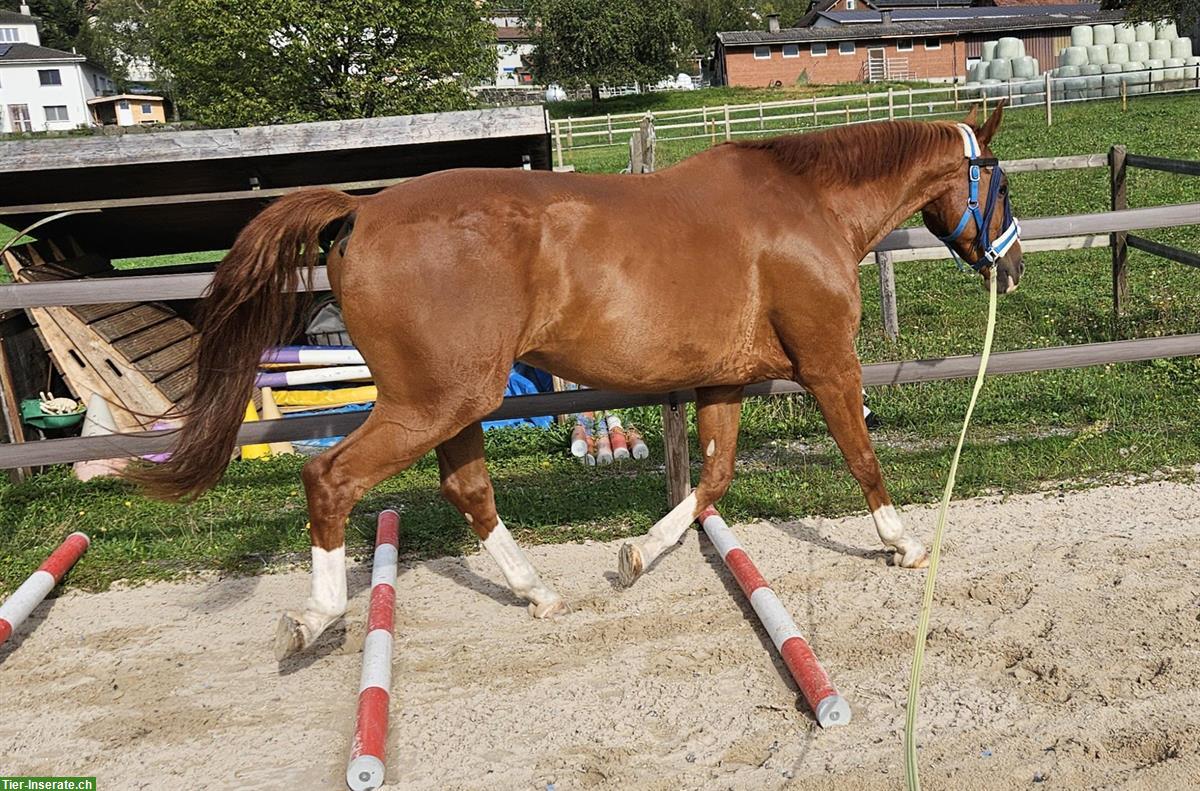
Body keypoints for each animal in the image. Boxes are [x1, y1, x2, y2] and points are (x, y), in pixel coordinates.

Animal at [131, 105, 1022, 662]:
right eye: (1002, 183)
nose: (1008, 268)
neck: (809, 208)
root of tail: (360, 212)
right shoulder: (829, 363)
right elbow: (861, 456)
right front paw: (905, 543)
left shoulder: (722, 382)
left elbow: (711, 481)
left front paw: (636, 555)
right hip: (430, 402)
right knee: (331, 476)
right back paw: (316, 617)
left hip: (456, 402)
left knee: (467, 489)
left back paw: (540, 592)